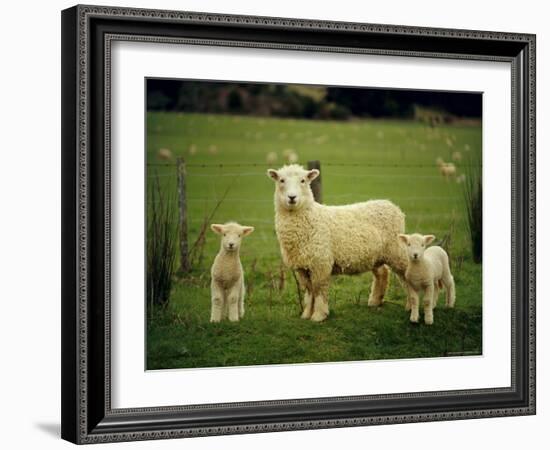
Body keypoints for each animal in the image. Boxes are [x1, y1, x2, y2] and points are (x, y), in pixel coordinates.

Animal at [268, 163, 410, 322]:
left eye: (303, 180)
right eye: (281, 180)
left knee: (408, 274)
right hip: (376, 254)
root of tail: (391, 205)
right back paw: (375, 301)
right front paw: (306, 314)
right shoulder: (302, 266)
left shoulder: (321, 263)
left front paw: (319, 315)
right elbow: (309, 290)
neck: (310, 217)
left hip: (396, 249)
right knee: (383, 273)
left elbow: (318, 289)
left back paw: (411, 306)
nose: (292, 197)